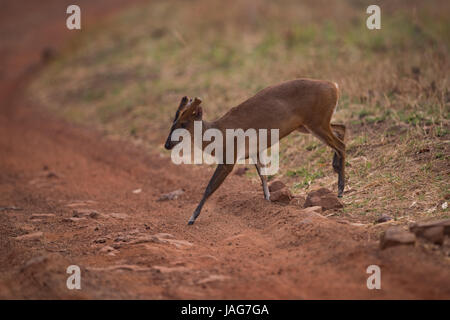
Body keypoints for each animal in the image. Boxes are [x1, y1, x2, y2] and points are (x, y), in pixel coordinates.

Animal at [163, 79, 346, 225]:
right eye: (174, 121)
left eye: (184, 123)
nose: (167, 144)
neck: (218, 134)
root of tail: (334, 86)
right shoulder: (254, 151)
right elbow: (263, 177)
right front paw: (267, 202)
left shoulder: (229, 159)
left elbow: (209, 188)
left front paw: (192, 218)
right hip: (309, 125)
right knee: (341, 129)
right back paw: (336, 169)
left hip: (316, 122)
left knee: (341, 144)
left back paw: (340, 189)